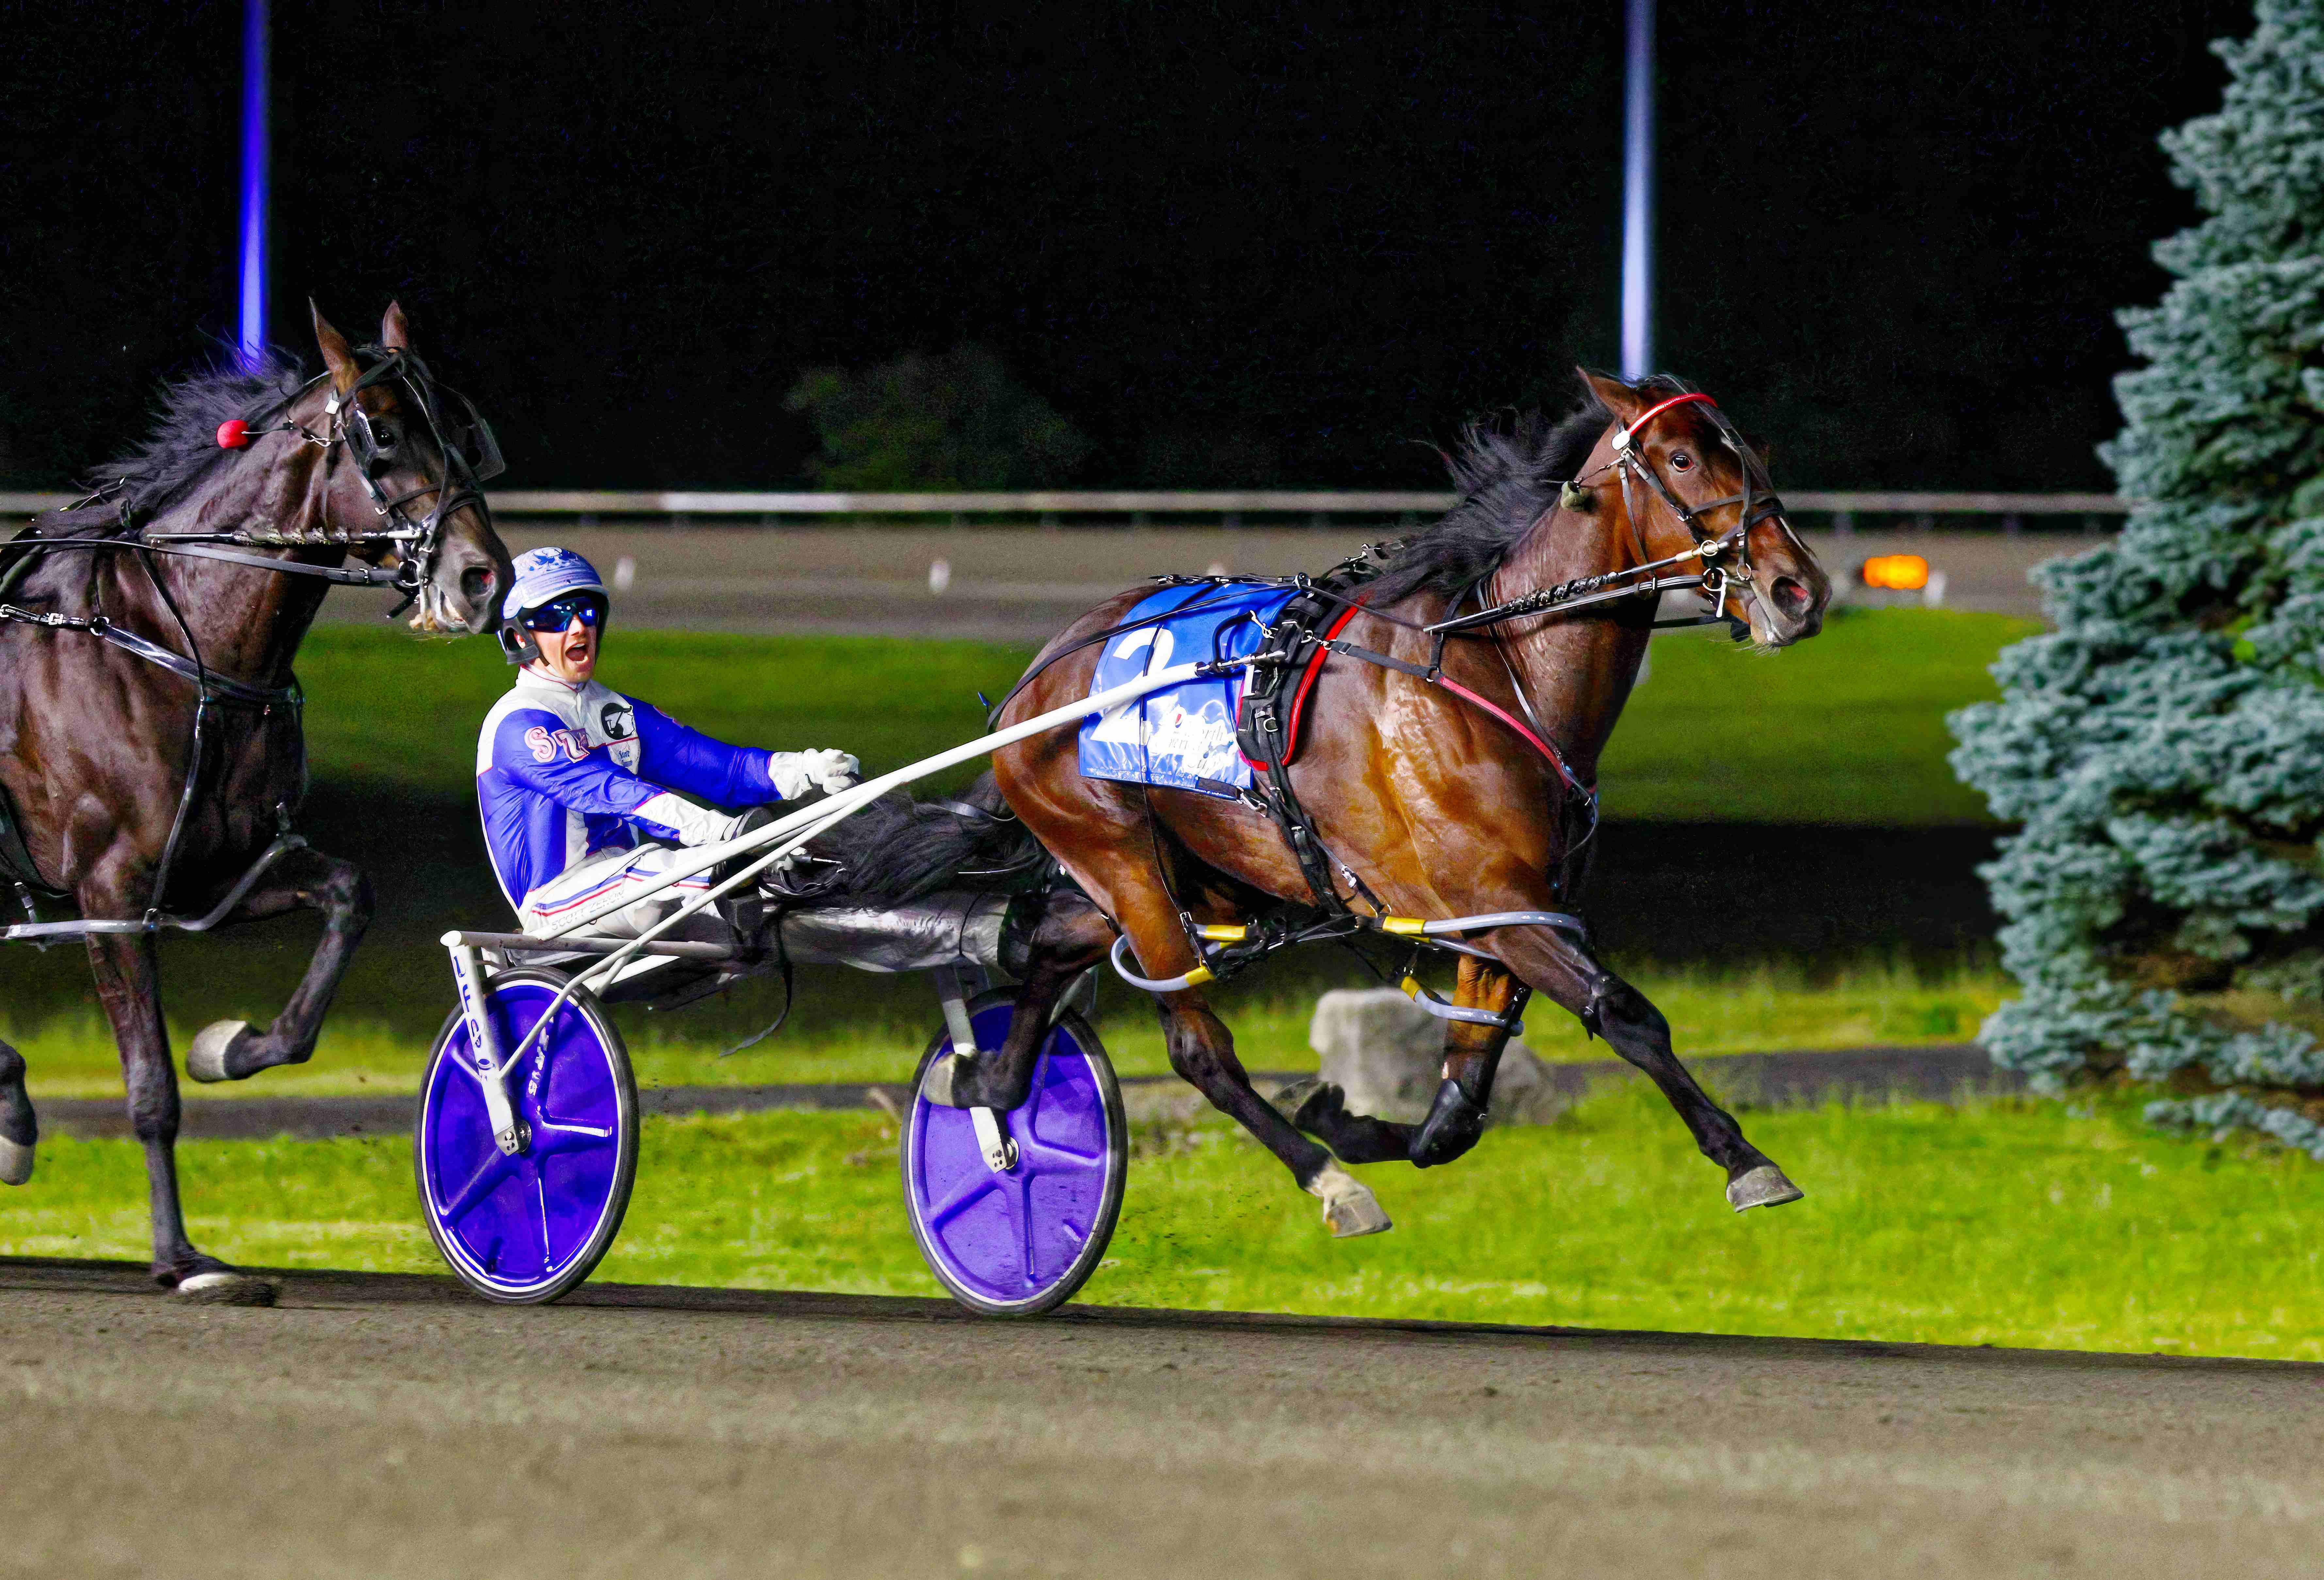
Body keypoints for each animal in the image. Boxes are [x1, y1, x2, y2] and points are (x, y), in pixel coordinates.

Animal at [0, 302, 514, 1301]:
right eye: (382, 433)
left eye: (463, 428)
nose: (484, 577)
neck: (173, 640)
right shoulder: (111, 893)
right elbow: (150, 1086)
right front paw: (180, 1256)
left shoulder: (221, 867)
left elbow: (348, 899)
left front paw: (234, 1045)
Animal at [943, 369, 1831, 1236]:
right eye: (1681, 458)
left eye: (1752, 449)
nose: (1800, 589)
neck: (1493, 665)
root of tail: (1033, 683)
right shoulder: (1493, 900)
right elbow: (1623, 1012)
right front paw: (1746, 1160)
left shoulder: (1514, 911)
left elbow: (1458, 1109)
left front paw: (1347, 1118)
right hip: (1125, 864)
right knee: (1197, 1048)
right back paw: (1327, 1182)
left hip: (1203, 875)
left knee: (1052, 944)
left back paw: (990, 1085)